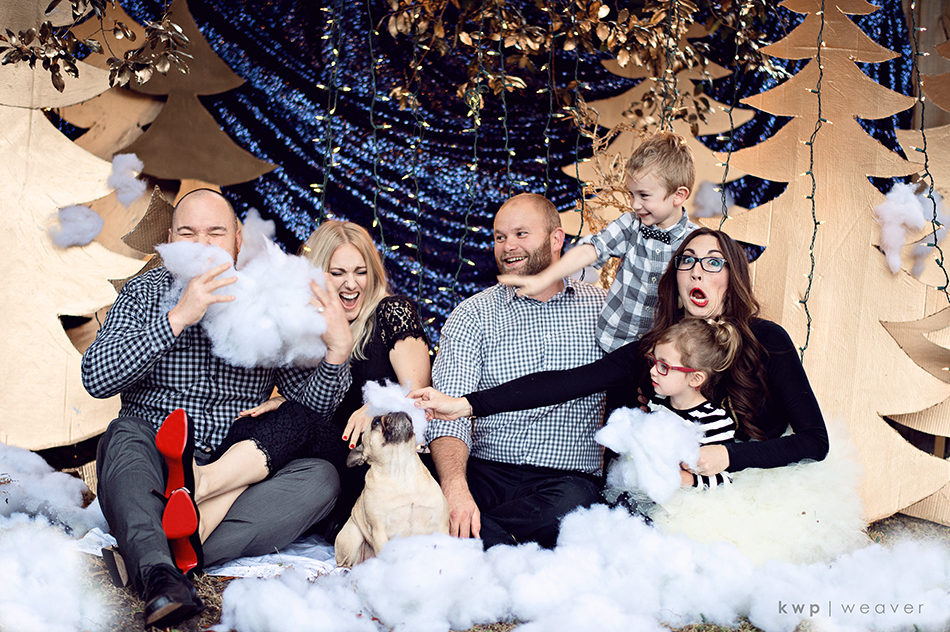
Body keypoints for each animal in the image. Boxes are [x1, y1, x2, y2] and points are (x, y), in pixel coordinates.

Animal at [334, 412, 450, 567]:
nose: (397, 411)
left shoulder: (440, 524)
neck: (401, 470)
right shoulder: (380, 531)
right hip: (352, 536)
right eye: (375, 422)